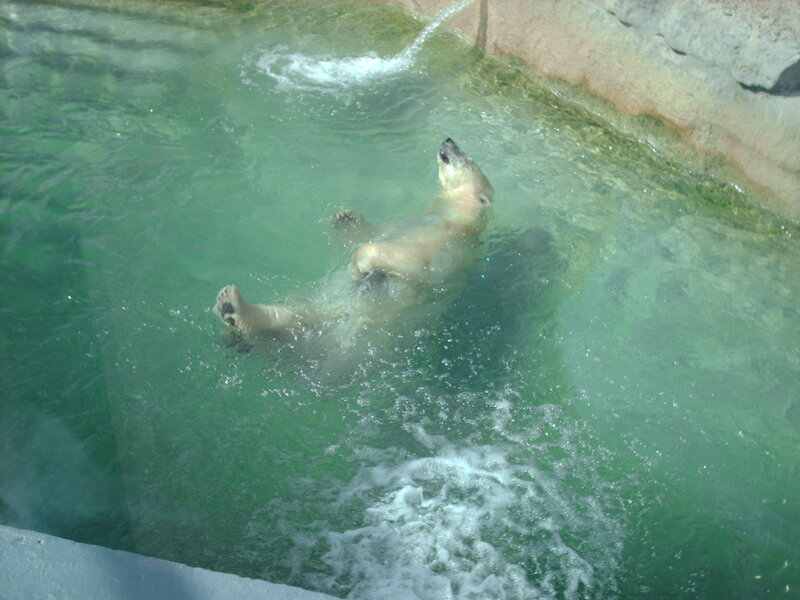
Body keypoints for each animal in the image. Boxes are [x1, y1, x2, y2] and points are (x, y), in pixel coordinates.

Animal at [213, 138, 493, 340]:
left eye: (467, 161)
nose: (449, 140)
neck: (453, 216)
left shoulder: (447, 243)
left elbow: (413, 263)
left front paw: (359, 265)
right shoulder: (408, 223)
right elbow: (374, 232)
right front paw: (345, 217)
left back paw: (234, 307)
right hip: (318, 301)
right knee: (292, 313)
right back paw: (230, 305)